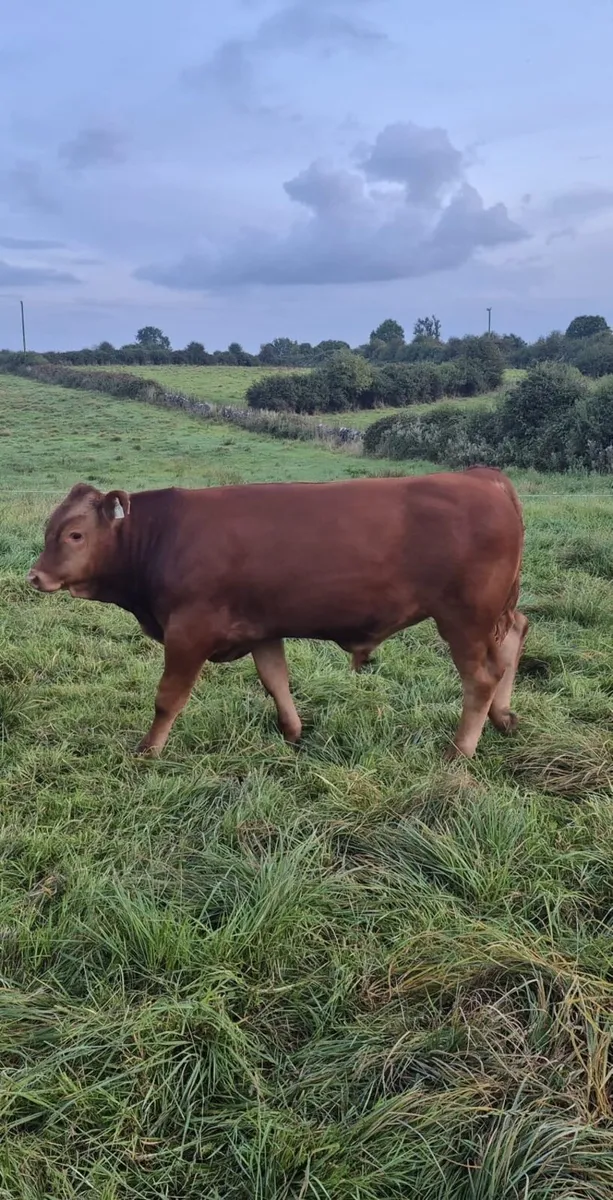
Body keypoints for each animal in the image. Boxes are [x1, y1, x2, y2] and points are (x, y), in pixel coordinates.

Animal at [27, 468, 528, 759]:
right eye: (51, 529)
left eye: (74, 534)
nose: (35, 576)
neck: (164, 535)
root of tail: (481, 476)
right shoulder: (261, 629)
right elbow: (276, 681)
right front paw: (292, 732)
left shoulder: (188, 632)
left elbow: (168, 697)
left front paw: (148, 749)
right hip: (492, 614)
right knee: (514, 638)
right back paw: (503, 718)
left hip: (464, 617)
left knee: (481, 678)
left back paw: (460, 750)